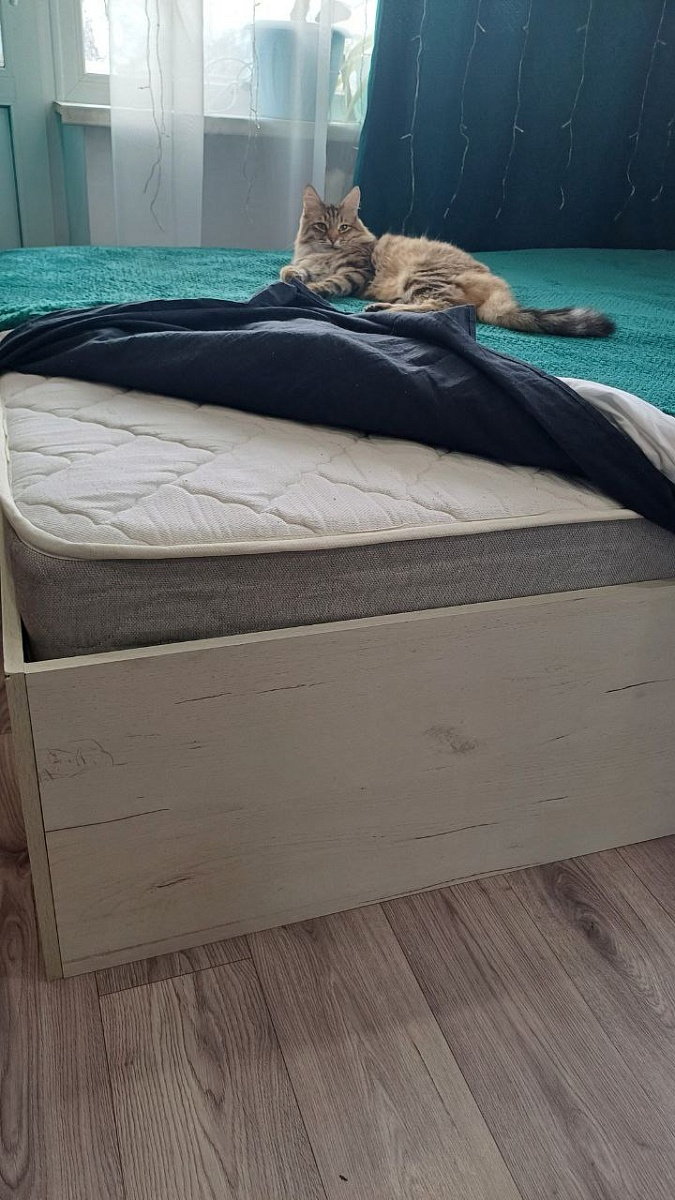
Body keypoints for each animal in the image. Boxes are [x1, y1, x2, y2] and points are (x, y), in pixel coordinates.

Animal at [280, 185, 615, 337]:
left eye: (343, 228)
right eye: (321, 226)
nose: (333, 239)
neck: (323, 253)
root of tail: (500, 291)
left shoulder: (357, 271)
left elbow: (329, 282)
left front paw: (311, 288)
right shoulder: (310, 260)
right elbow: (294, 269)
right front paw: (292, 274)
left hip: (423, 275)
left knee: (442, 307)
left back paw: (379, 310)